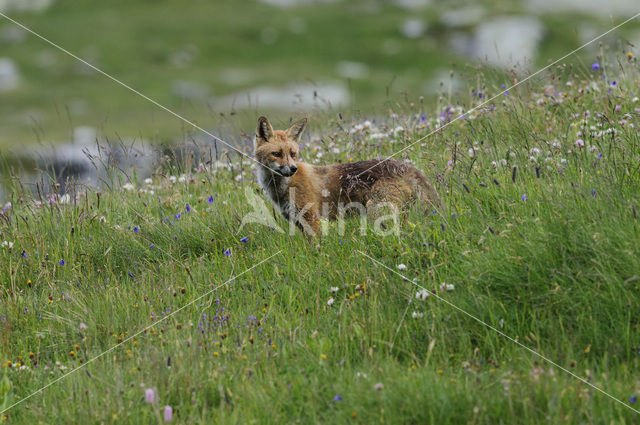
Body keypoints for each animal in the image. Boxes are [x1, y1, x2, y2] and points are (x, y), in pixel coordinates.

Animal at [254, 114, 440, 235]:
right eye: (277, 154)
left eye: (292, 154)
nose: (293, 169)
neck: (282, 188)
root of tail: (403, 166)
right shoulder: (299, 223)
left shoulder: (312, 219)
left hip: (376, 211)